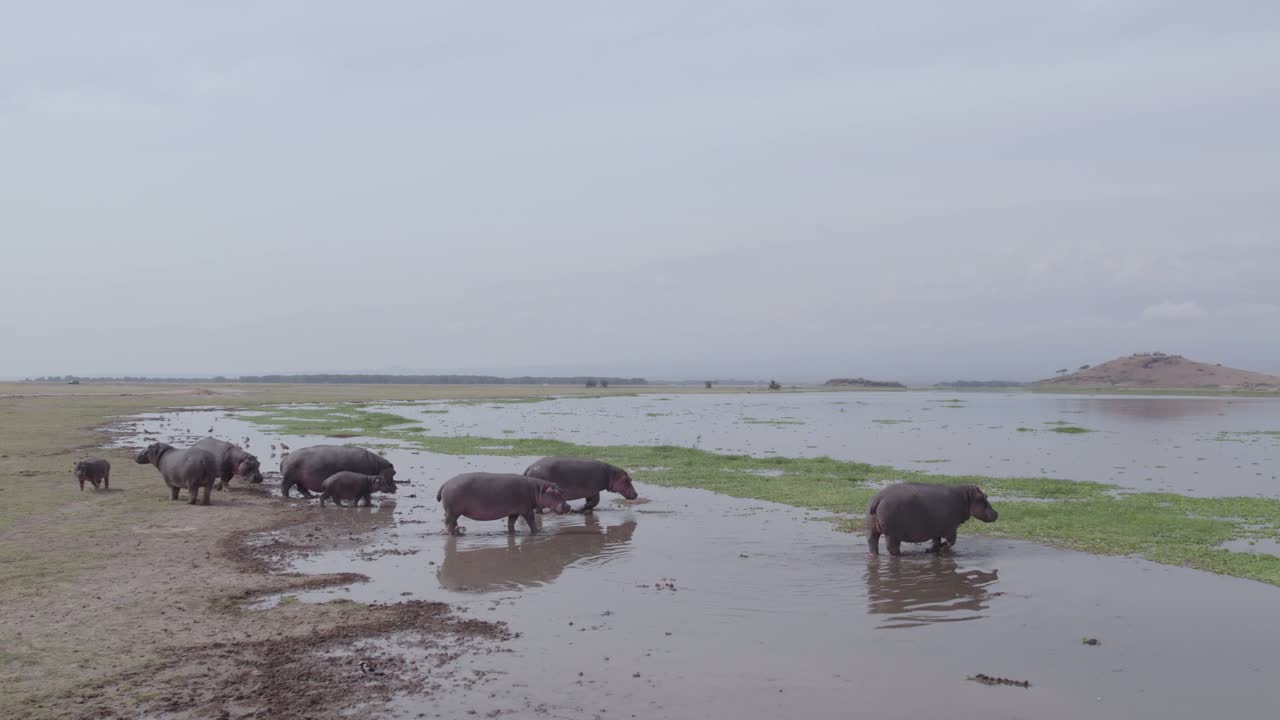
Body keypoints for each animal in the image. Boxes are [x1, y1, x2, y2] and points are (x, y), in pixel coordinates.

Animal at [436, 472, 571, 535]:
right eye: (554, 492)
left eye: (562, 490)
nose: (568, 506)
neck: (537, 490)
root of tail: (445, 484)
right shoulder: (526, 510)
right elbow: (531, 521)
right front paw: (537, 532)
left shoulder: (514, 511)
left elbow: (511, 523)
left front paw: (514, 533)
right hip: (453, 511)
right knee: (448, 523)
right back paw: (454, 535)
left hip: (452, 512)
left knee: (452, 523)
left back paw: (458, 532)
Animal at [866, 482, 998, 556]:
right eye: (984, 498)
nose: (997, 513)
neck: (966, 498)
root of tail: (878, 498)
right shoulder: (951, 528)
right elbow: (951, 542)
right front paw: (941, 549)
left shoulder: (936, 529)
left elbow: (936, 541)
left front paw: (931, 550)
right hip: (893, 535)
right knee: (892, 548)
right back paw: (902, 555)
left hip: (872, 530)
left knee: (872, 544)